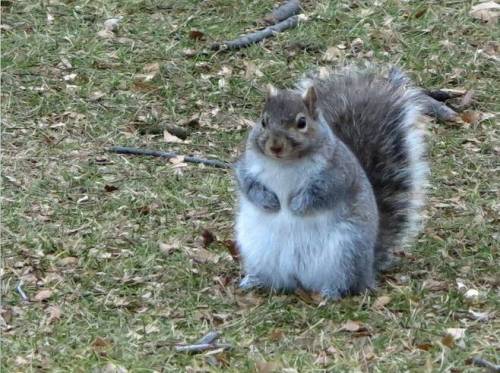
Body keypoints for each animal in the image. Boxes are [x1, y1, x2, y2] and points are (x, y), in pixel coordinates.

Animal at [232, 63, 428, 296]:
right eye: (263, 121)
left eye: (302, 122)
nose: (275, 146)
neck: (285, 163)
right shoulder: (246, 166)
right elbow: (246, 184)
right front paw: (269, 201)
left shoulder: (337, 174)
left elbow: (323, 193)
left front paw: (296, 206)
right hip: (260, 251)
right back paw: (256, 281)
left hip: (346, 251)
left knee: (347, 282)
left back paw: (331, 292)